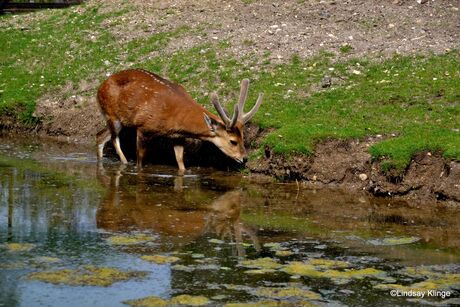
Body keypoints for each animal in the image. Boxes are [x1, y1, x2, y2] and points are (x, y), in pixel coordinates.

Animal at [96, 68, 262, 172]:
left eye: (243, 138)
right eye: (233, 141)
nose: (244, 158)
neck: (175, 120)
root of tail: (99, 88)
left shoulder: (178, 137)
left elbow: (180, 161)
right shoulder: (143, 127)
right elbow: (140, 161)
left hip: (119, 121)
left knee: (100, 136)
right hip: (113, 115)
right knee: (114, 139)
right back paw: (124, 163)